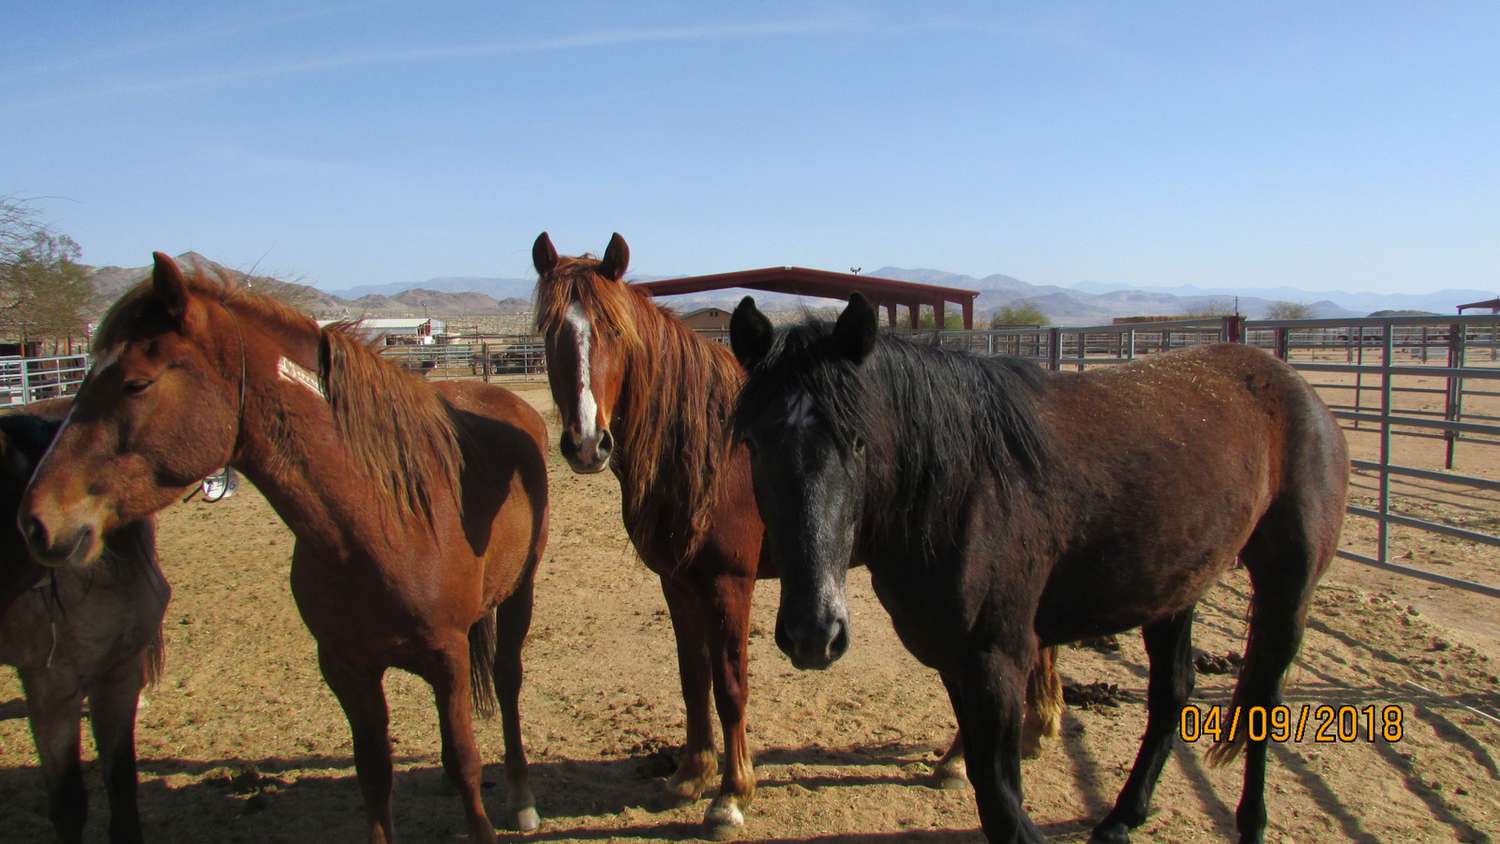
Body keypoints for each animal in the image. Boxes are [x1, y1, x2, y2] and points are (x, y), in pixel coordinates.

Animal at [19, 257, 552, 844]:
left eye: (136, 383)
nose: (37, 521)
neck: (379, 525)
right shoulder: (344, 667)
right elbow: (374, 773)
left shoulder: (447, 659)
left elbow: (465, 762)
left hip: (519, 594)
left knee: (506, 679)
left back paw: (523, 798)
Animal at [531, 232, 1068, 839]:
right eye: (550, 333)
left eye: (615, 332)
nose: (586, 443)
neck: (708, 449)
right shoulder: (677, 581)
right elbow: (693, 678)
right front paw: (690, 776)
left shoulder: (729, 583)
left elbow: (730, 685)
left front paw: (731, 796)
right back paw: (1032, 731)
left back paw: (958, 762)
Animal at [726, 293, 1350, 839]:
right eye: (754, 443)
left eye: (858, 442)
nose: (813, 634)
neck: (964, 488)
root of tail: (1295, 386)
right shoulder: (958, 659)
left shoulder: (997, 659)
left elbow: (1001, 799)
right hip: (1175, 589)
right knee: (1172, 692)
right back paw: (1123, 816)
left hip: (1287, 587)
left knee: (1263, 700)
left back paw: (1250, 824)